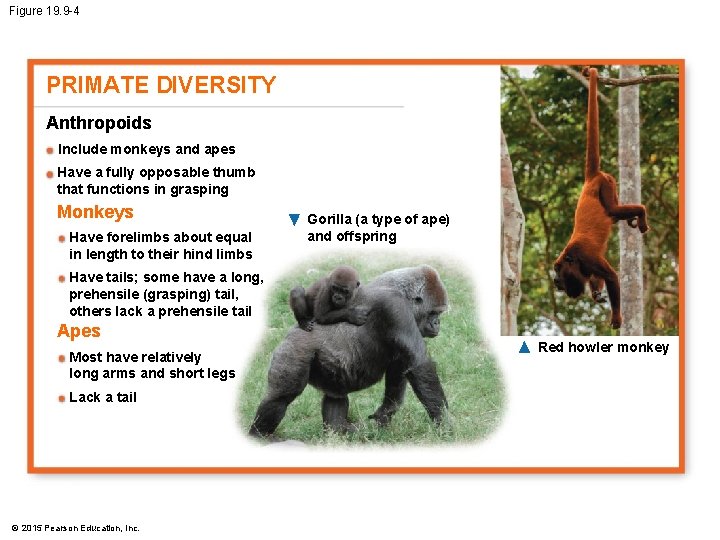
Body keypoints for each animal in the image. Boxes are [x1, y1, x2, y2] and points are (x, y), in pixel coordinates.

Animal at [249, 265, 449, 436]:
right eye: (433, 312)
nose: (437, 323)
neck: (401, 292)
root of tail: (293, 331)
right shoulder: (396, 309)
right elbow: (419, 364)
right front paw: (445, 425)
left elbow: (402, 368)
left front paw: (385, 414)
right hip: (294, 348)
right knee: (280, 398)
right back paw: (259, 435)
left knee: (335, 396)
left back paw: (339, 431)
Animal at [553, 66, 650, 329]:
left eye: (558, 273)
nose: (555, 282)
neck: (572, 256)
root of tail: (591, 178)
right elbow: (596, 279)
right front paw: (596, 293)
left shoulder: (587, 258)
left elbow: (611, 276)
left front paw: (616, 317)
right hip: (610, 184)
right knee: (615, 213)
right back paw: (632, 219)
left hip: (605, 184)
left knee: (613, 210)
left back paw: (640, 213)